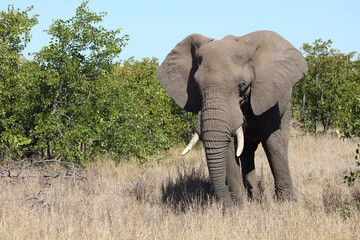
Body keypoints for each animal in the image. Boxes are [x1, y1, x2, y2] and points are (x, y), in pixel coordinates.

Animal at [156, 30, 308, 206]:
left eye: (241, 84)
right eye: (196, 86)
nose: (225, 203)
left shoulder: (266, 92)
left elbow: (272, 143)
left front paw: (287, 204)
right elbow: (229, 149)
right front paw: (239, 207)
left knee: (280, 142)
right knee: (246, 151)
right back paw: (253, 197)